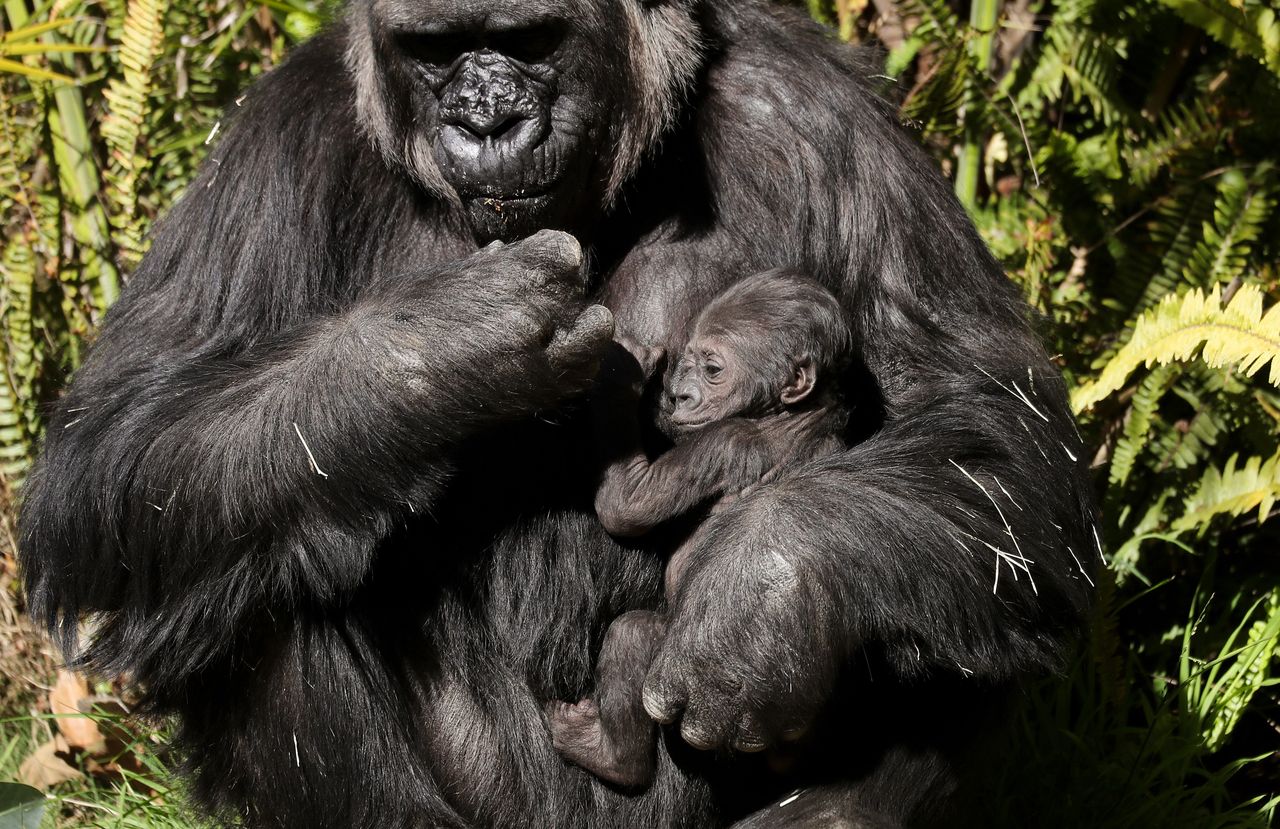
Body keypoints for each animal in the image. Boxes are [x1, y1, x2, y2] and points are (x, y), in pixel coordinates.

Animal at [547, 268, 855, 788]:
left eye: (713, 369)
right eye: (688, 365)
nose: (681, 395)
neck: (793, 416)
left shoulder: (723, 441)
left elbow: (626, 505)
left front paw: (620, 374)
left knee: (633, 636)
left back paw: (609, 755)